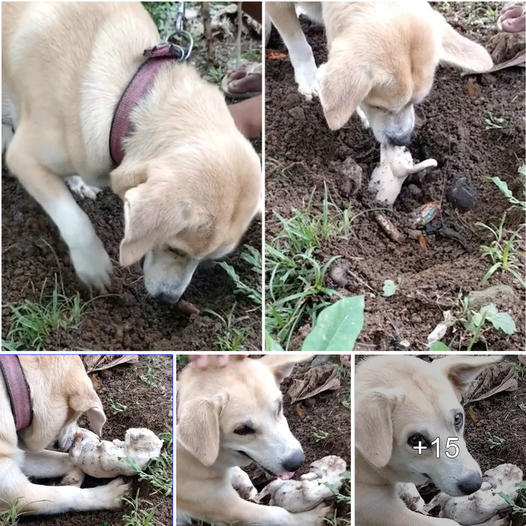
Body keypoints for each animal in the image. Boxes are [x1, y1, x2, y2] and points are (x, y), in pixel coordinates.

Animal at [0, 354, 130, 516]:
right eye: (76, 416)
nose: (78, 435)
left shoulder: (19, 454)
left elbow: (63, 459)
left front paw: (74, 476)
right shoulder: (15, 493)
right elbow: (66, 494)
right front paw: (111, 494)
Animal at [2, 2, 262, 304]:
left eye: (208, 260)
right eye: (175, 249)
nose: (169, 300)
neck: (127, 96)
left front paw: (77, 182)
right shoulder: (23, 157)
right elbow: (74, 219)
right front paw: (93, 264)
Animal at [179, 356, 332, 524]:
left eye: (279, 406)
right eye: (242, 430)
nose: (297, 461)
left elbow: (239, 473)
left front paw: (245, 484)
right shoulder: (223, 505)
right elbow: (281, 515)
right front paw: (312, 518)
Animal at [268, 0, 496, 144]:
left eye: (416, 102)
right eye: (378, 106)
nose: (403, 140)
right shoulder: (277, 5)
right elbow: (298, 43)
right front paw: (309, 80)